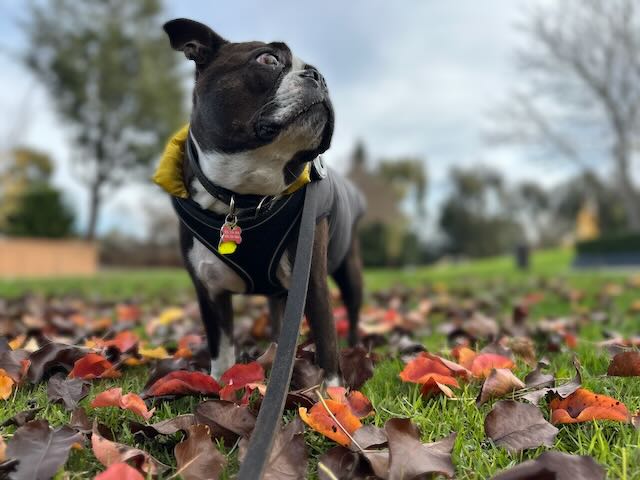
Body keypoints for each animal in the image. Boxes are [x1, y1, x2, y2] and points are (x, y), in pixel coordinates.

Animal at [158, 18, 365, 385]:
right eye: (268, 59)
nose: (319, 76)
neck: (244, 196)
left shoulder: (312, 279)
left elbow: (327, 338)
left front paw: (332, 391)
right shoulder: (208, 292)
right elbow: (221, 347)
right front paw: (218, 383)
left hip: (349, 268)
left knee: (351, 312)